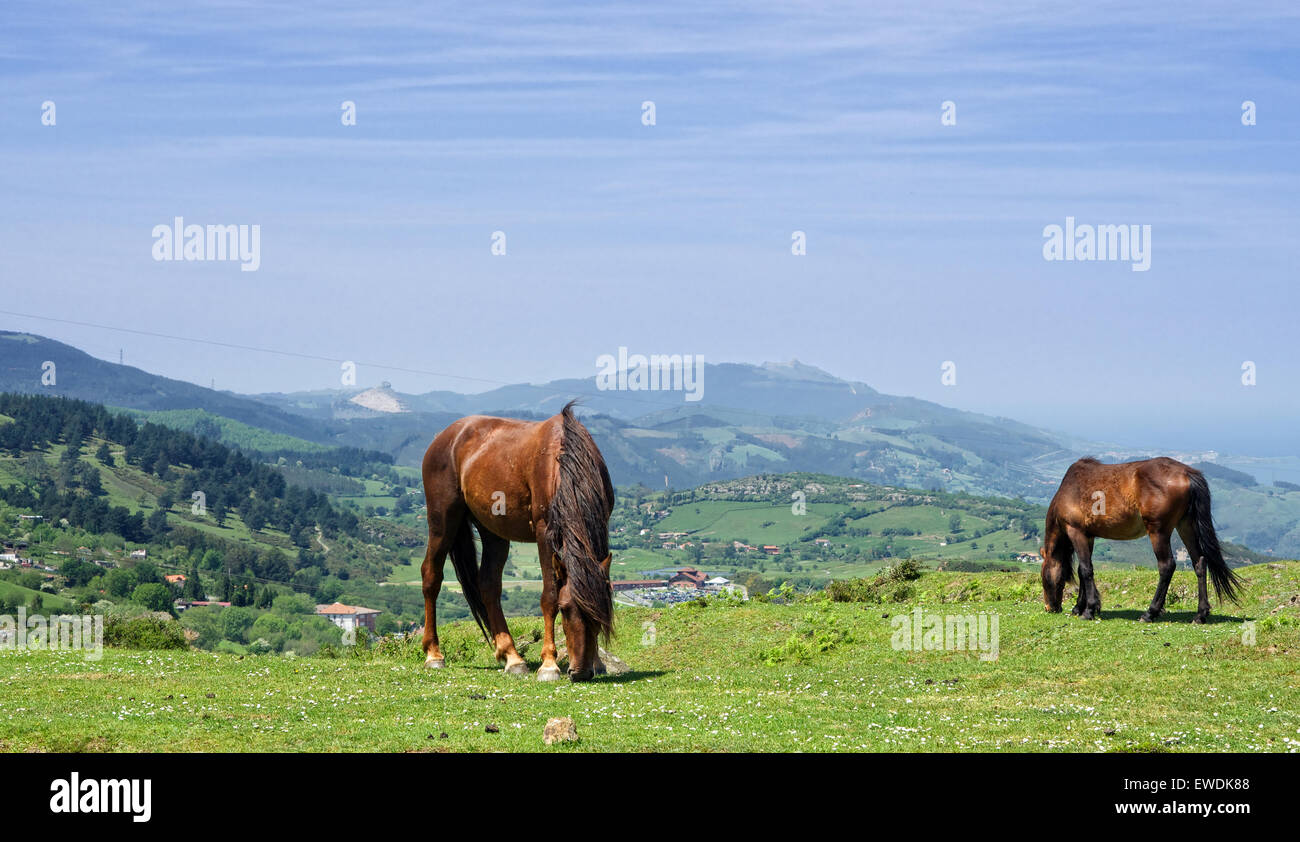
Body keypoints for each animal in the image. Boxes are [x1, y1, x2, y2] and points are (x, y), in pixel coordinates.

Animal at [418, 397, 616, 680]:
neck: (564, 461)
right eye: (566, 609)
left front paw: (599, 662)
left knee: (488, 585)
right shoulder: (545, 533)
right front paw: (549, 665)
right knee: (431, 577)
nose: (579, 672)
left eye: (599, 613)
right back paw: (434, 654)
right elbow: (549, 596)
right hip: (442, 522)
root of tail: (445, 437)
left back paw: (512, 657)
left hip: (493, 532)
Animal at [1040, 457, 1242, 621]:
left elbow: (1085, 569)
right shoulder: (1088, 536)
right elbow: (1083, 571)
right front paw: (1080, 607)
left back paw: (1150, 613)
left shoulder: (1076, 532)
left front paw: (1088, 610)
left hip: (1158, 532)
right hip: (1186, 526)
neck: (1070, 489)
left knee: (1167, 566)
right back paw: (1200, 614)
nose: (1051, 608)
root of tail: (1187, 473)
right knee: (1199, 563)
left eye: (1044, 577)